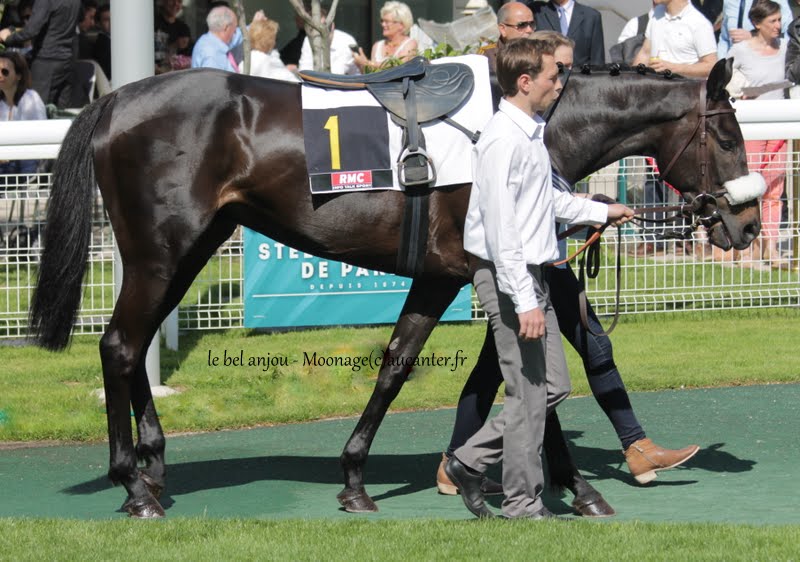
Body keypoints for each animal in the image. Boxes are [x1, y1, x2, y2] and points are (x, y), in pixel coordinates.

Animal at [28, 58, 760, 516]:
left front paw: (361, 478)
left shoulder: (449, 277)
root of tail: (116, 98)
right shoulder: (494, 272)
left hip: (192, 247)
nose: (747, 223)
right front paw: (576, 488)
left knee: (136, 344)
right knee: (121, 346)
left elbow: (404, 366)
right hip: (161, 252)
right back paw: (133, 484)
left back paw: (152, 465)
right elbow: (528, 379)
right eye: (727, 136)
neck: (524, 130)